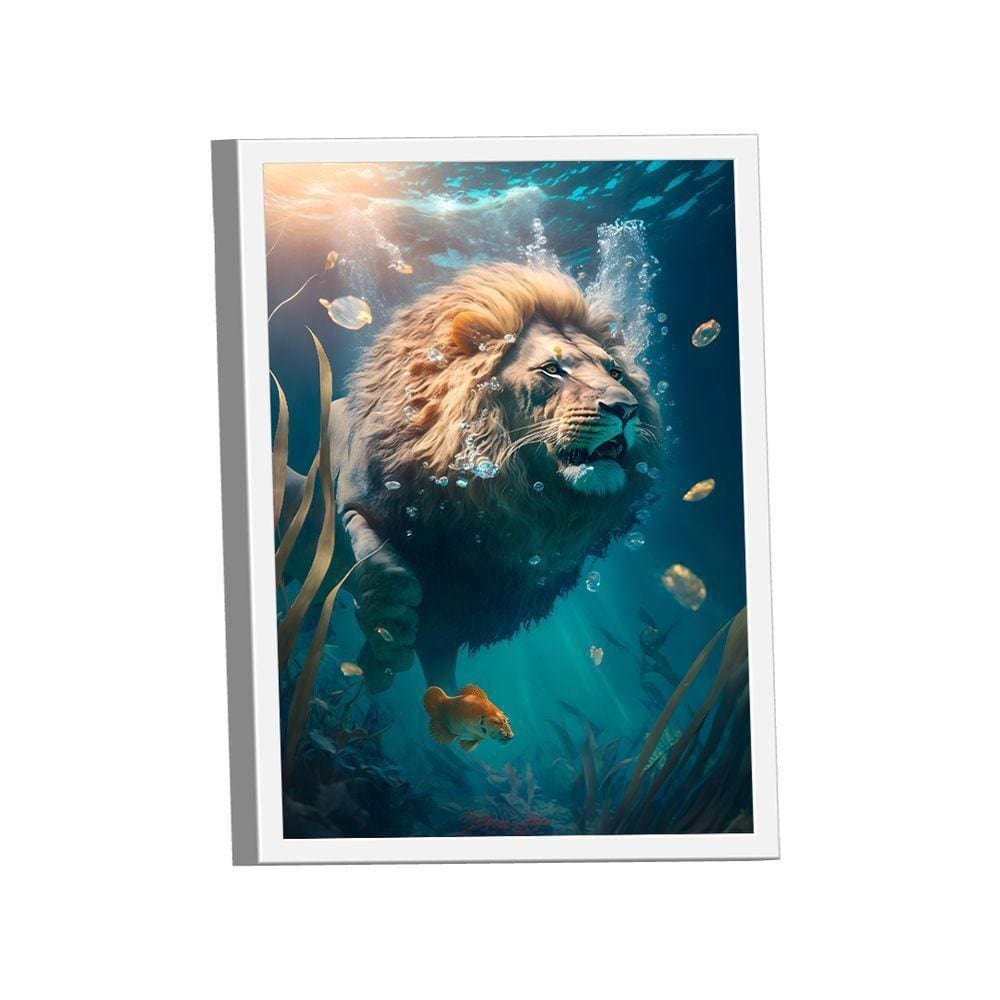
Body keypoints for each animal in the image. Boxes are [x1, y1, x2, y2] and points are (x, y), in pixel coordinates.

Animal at [279, 263, 662, 693]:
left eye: (615, 372)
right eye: (552, 369)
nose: (627, 408)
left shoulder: (468, 604)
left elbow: (439, 661)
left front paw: (384, 666)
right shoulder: (353, 498)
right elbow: (382, 561)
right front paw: (389, 628)